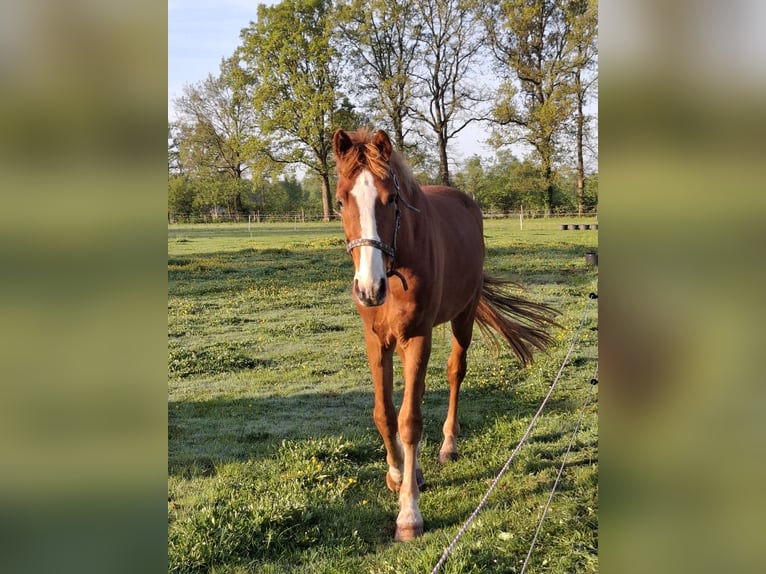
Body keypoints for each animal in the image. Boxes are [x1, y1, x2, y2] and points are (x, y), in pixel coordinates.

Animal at [332, 128, 558, 541]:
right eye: (341, 201)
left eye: (391, 199)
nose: (369, 289)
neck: (397, 264)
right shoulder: (377, 339)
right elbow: (385, 414)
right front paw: (397, 474)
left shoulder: (419, 336)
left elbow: (410, 420)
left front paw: (409, 514)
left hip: (462, 317)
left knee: (455, 373)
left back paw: (448, 445)